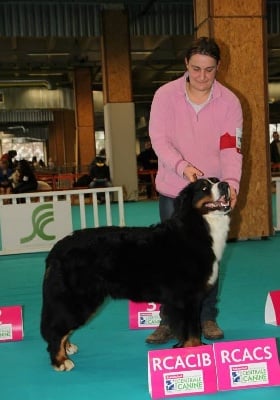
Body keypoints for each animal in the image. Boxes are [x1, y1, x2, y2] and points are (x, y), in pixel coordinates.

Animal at [40, 177, 231, 370]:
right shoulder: (187, 298)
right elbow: (191, 330)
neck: (198, 225)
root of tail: (57, 247)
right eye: (204, 187)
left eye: (216, 180)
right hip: (78, 298)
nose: (225, 185)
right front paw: (197, 354)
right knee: (56, 329)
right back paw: (60, 360)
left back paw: (68, 348)